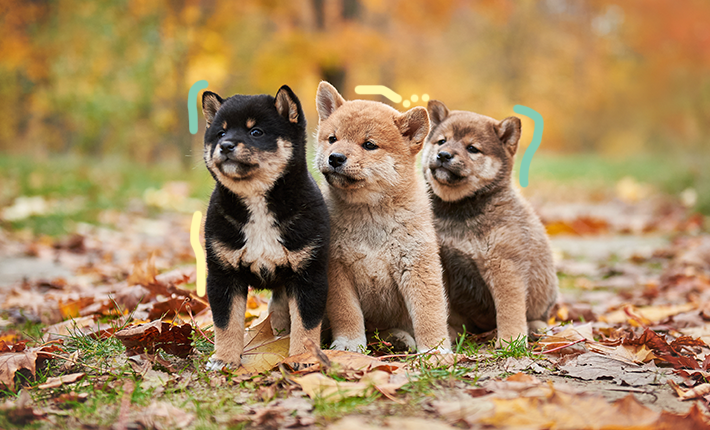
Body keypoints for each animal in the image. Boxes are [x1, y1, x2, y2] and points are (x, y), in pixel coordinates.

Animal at [203, 85, 330, 370]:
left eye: (256, 132)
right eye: (221, 133)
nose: (225, 145)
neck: (258, 205)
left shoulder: (309, 275)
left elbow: (305, 326)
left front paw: (303, 358)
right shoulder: (222, 274)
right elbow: (227, 324)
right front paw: (224, 359)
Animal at [316, 80, 450, 352]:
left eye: (369, 144)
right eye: (333, 139)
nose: (335, 157)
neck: (370, 216)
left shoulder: (417, 265)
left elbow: (428, 313)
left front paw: (436, 351)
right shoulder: (337, 269)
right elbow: (346, 312)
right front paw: (348, 344)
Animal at [422, 100, 560, 346]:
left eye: (472, 148)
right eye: (442, 141)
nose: (443, 155)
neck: (460, 211)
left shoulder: (505, 265)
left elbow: (509, 311)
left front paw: (511, 341)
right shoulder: (444, 263)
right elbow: (444, 308)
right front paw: (447, 333)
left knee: (538, 318)